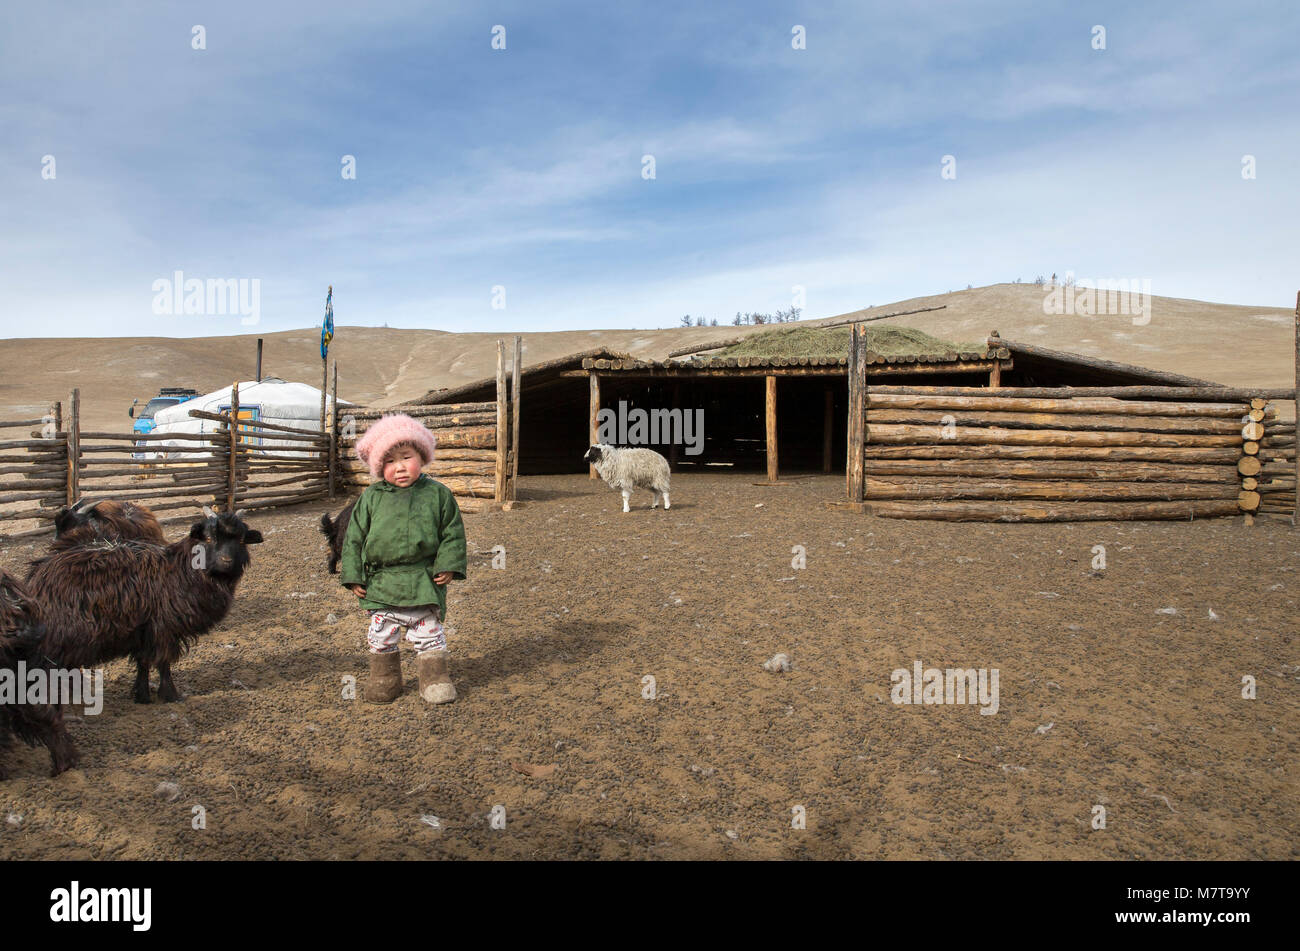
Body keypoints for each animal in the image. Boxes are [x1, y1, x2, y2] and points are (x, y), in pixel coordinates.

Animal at [26, 509, 262, 701]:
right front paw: (170, 695)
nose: (226, 561)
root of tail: (37, 576)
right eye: (210, 537)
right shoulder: (163, 627)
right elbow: (163, 662)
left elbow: (143, 662)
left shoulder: (144, 630)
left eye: (242, 540)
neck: (181, 570)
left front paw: (142, 695)